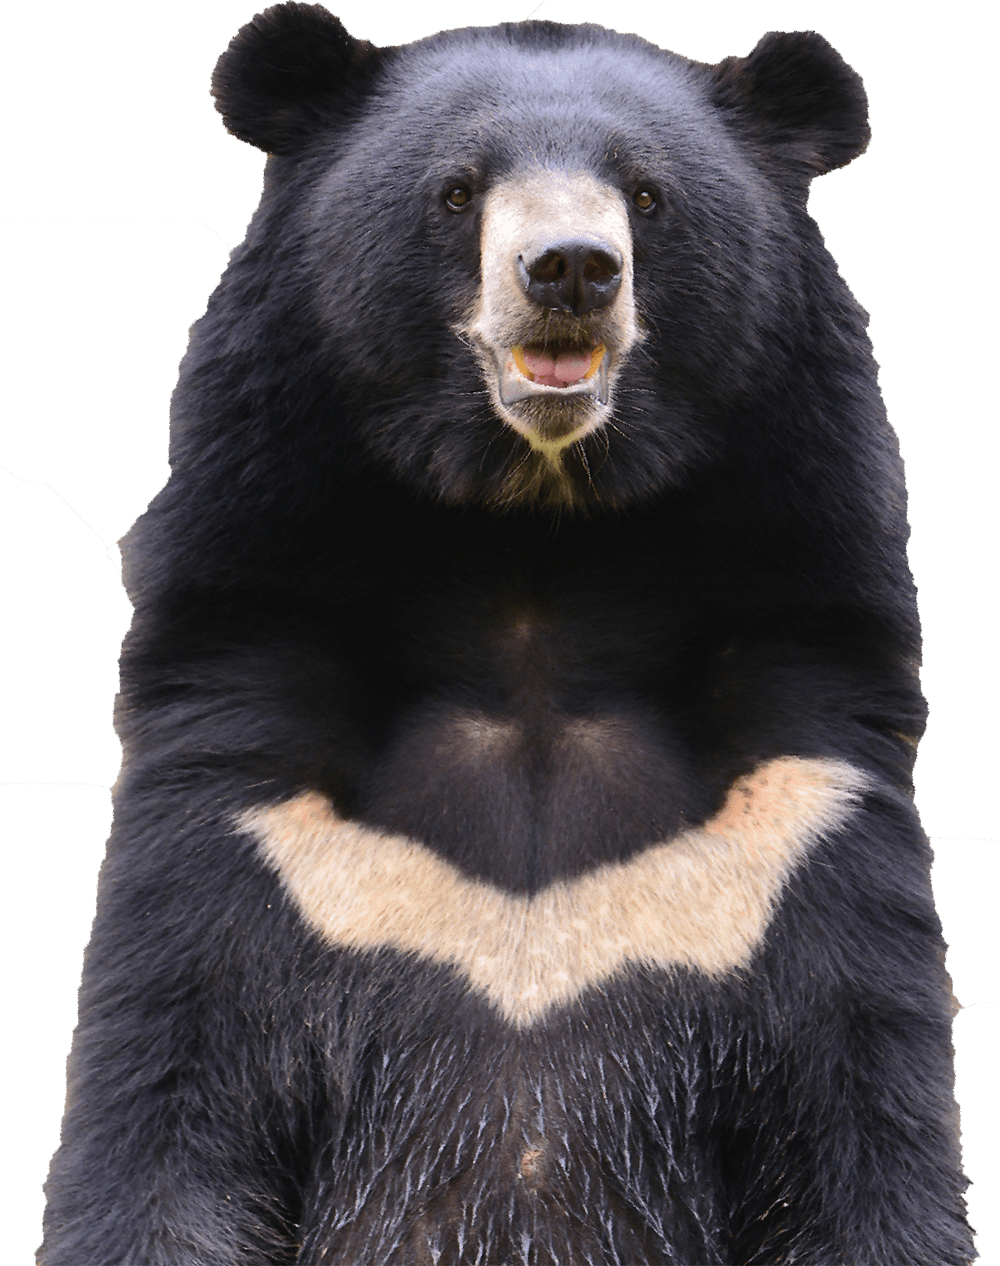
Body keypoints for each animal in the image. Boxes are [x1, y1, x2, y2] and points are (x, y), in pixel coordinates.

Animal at [38, 4, 976, 1264]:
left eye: (646, 193)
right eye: (455, 190)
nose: (569, 269)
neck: (536, 553)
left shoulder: (795, 819)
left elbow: (861, 1136)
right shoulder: (249, 814)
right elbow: (168, 1102)